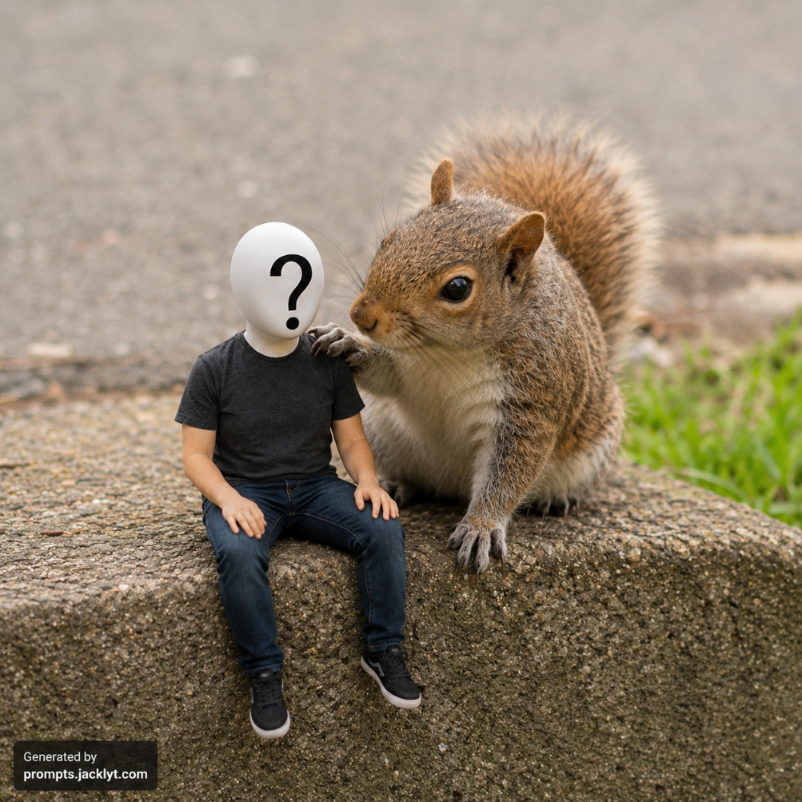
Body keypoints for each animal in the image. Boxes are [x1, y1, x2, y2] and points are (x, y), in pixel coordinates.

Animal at [311, 116, 660, 573]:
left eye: (457, 288)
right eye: (390, 240)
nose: (361, 316)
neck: (447, 353)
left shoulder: (531, 403)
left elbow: (509, 473)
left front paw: (481, 527)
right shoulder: (407, 370)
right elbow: (385, 377)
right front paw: (347, 344)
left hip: (592, 450)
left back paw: (557, 500)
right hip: (383, 431)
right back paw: (389, 482)